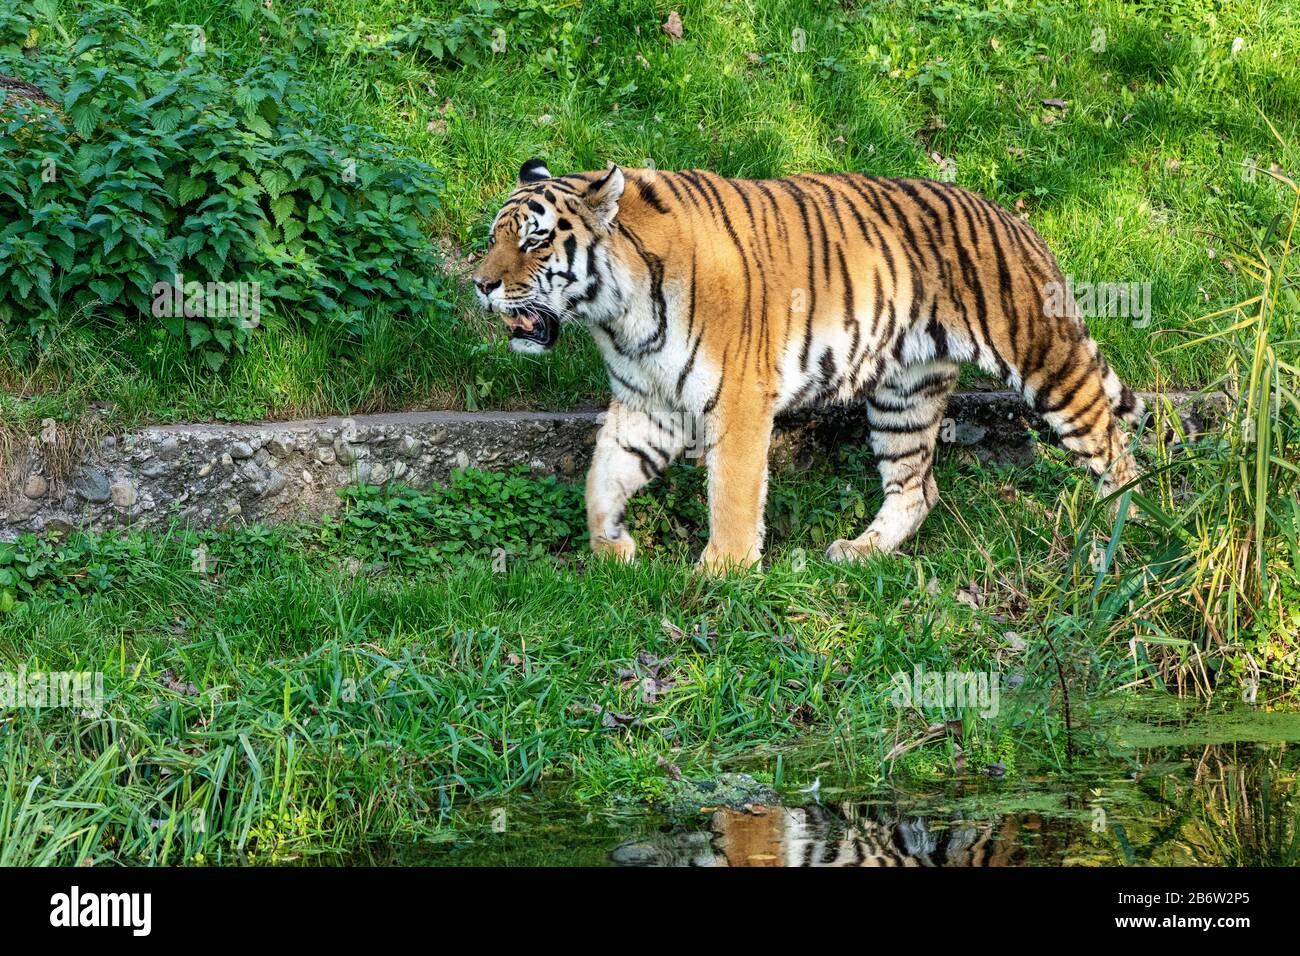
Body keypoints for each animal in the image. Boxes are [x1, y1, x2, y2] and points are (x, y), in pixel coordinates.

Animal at [472, 159, 1144, 572]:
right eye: (495, 236)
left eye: (534, 241)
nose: (480, 284)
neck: (615, 314)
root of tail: (1014, 220)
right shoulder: (649, 402)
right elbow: (602, 475)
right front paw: (612, 549)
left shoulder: (738, 399)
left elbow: (733, 492)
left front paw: (721, 573)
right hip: (905, 394)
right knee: (916, 487)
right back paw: (860, 552)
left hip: (1047, 363)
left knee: (1118, 452)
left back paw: (1115, 543)